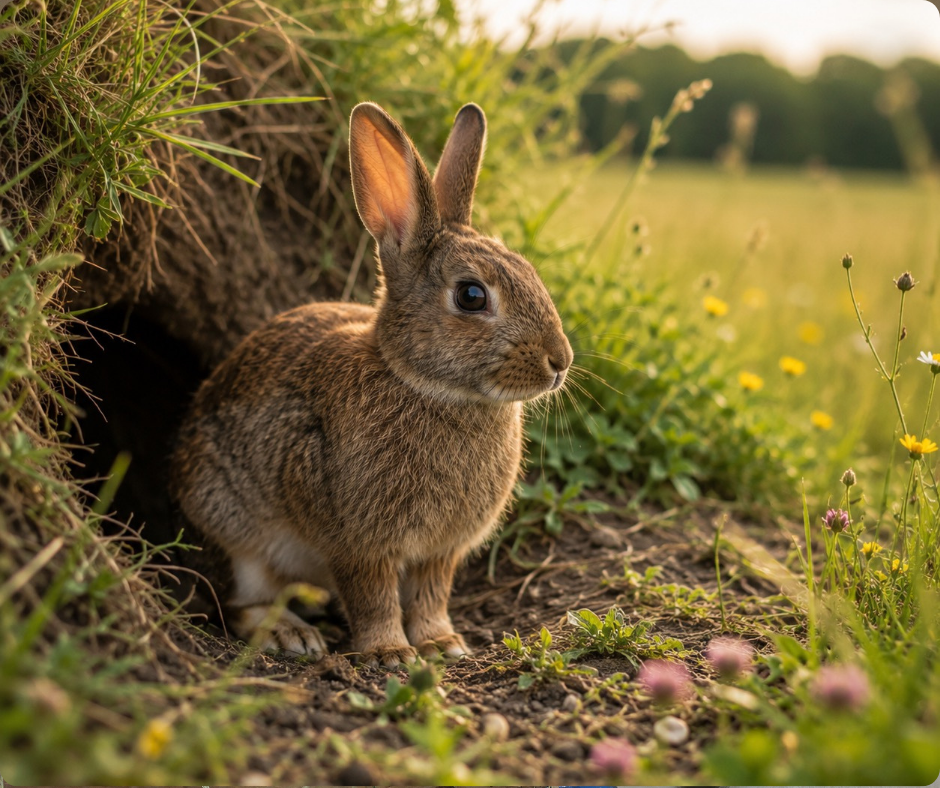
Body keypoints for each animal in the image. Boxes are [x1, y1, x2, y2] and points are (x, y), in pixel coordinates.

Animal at [169, 101, 573, 668]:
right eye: (471, 296)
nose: (560, 361)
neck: (425, 385)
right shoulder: (359, 542)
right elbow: (372, 595)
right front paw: (390, 653)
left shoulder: (440, 552)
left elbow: (431, 594)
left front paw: (442, 644)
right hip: (231, 523)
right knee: (240, 601)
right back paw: (290, 634)